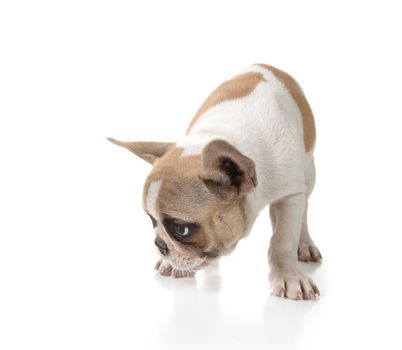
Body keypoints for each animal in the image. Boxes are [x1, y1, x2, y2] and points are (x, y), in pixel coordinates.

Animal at [108, 62, 322, 298]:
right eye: (151, 220)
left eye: (181, 230)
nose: (160, 245)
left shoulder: (290, 195)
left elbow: (283, 240)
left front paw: (289, 276)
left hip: (308, 175)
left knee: (304, 209)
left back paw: (304, 244)